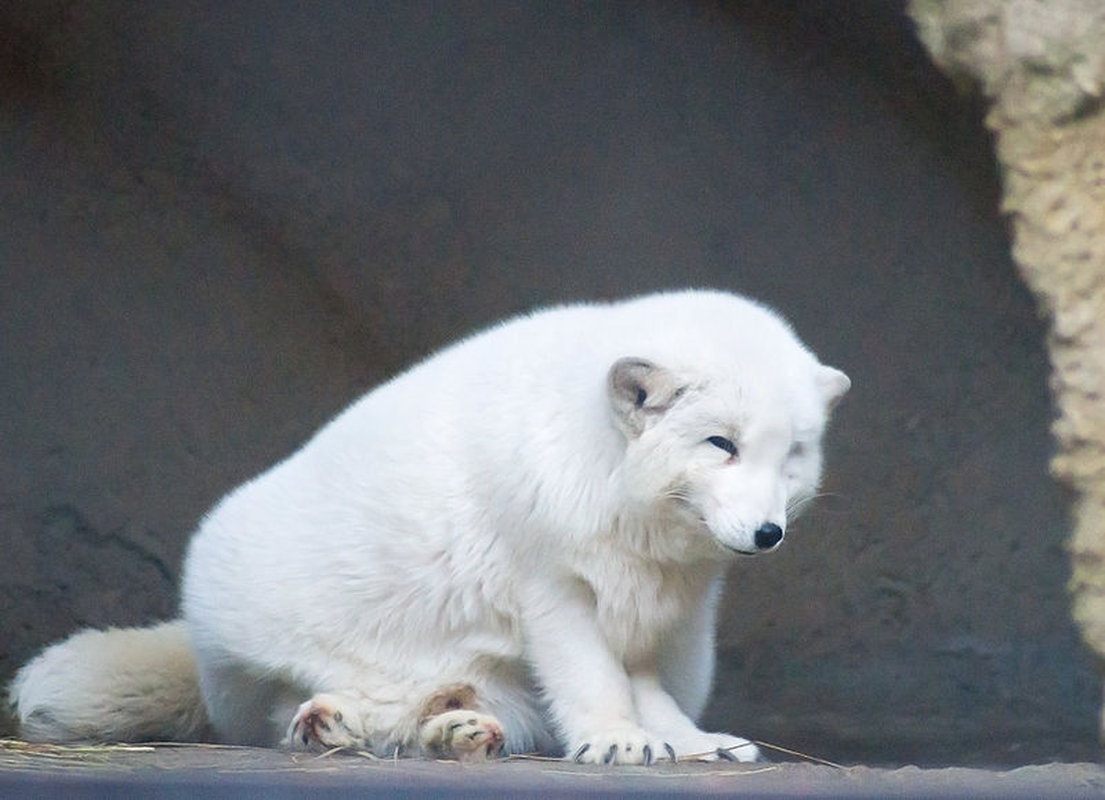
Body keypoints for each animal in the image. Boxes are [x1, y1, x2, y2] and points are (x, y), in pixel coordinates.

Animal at [8, 291, 848, 764]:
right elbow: (593, 677)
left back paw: (454, 725)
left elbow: (652, 692)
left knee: (459, 718)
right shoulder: (551, 585)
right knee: (293, 718)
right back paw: (335, 724)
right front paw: (615, 740)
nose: (766, 533)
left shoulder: (657, 616)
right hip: (264, 635)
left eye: (791, 455)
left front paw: (692, 744)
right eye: (720, 444)